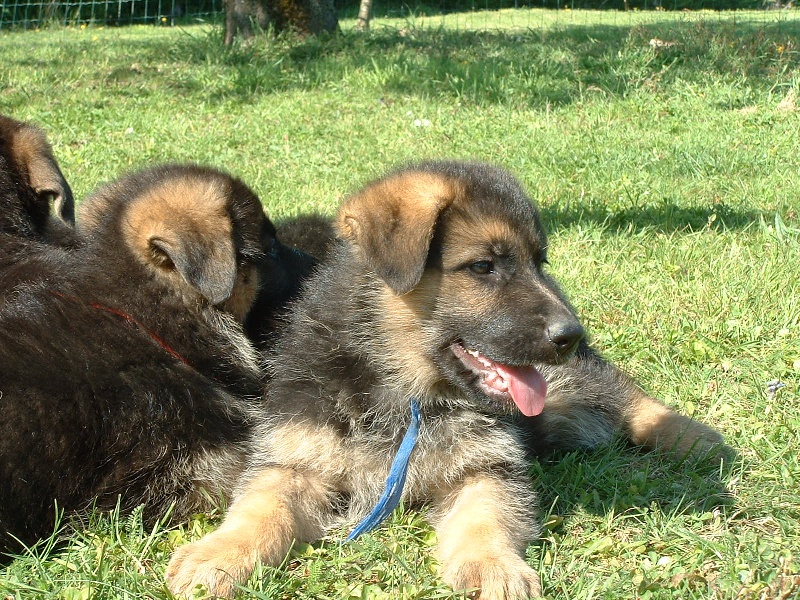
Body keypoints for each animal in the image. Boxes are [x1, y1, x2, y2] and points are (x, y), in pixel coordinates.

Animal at [166, 161, 725, 599]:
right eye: (483, 267)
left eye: (537, 262)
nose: (570, 332)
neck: (402, 386)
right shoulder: (292, 461)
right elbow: (258, 511)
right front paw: (217, 555)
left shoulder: (485, 469)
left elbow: (485, 519)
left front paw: (492, 566)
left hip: (572, 382)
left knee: (626, 396)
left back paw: (697, 439)